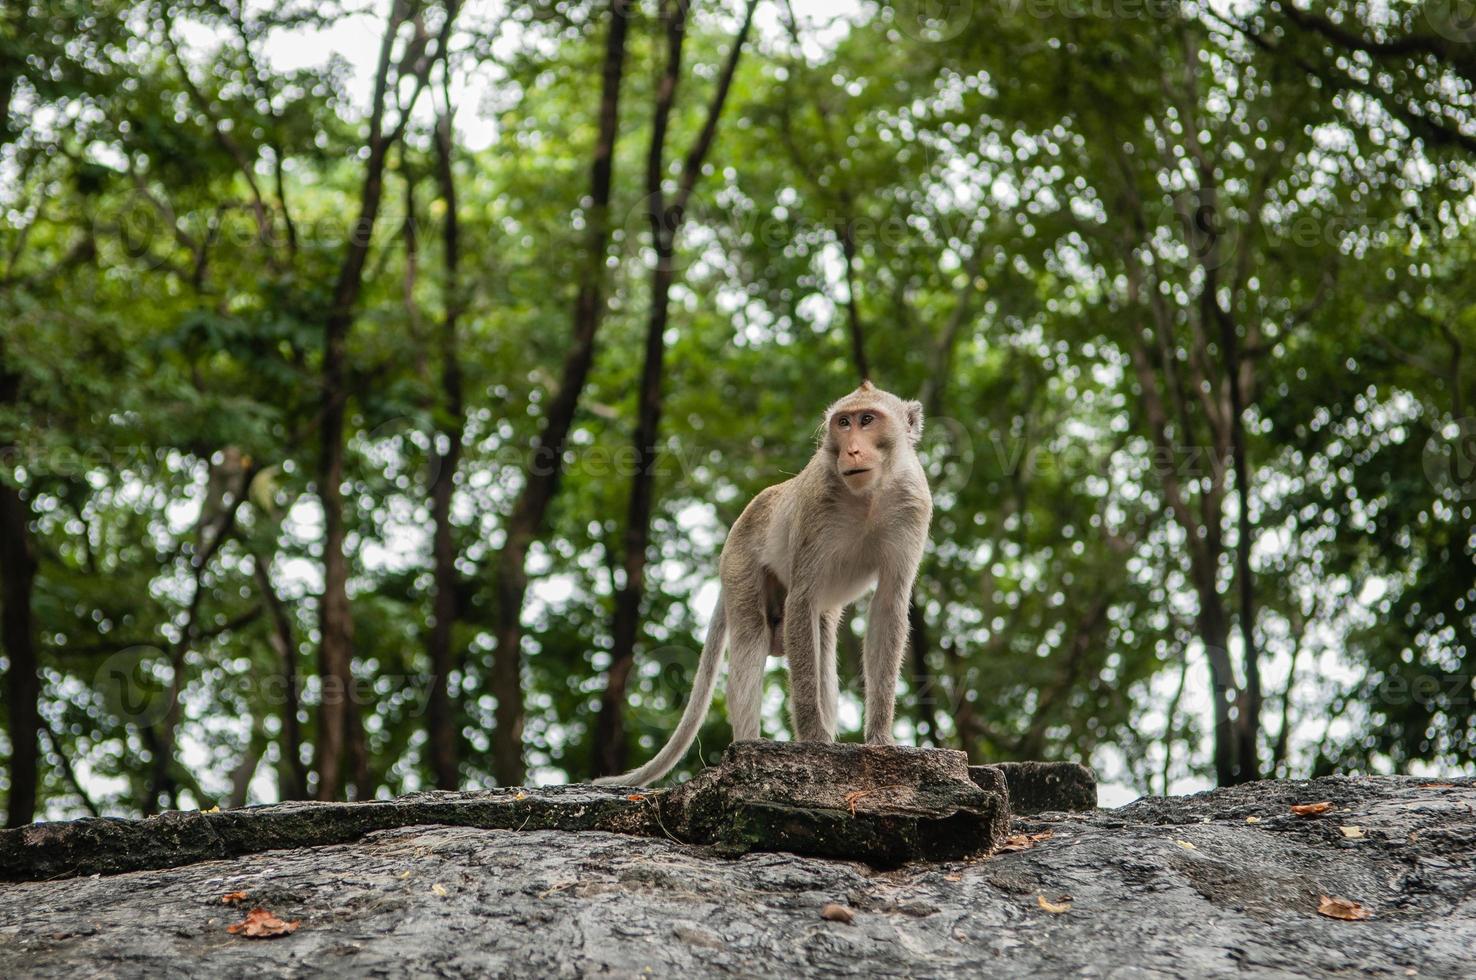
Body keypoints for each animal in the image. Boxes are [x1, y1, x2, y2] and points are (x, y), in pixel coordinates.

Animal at [590, 377, 926, 785]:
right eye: (844, 423)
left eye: (867, 419)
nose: (852, 450)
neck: (869, 497)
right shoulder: (816, 507)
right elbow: (801, 600)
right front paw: (814, 739)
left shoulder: (912, 505)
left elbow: (888, 606)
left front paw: (879, 738)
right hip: (740, 567)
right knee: (753, 633)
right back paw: (749, 747)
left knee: (821, 636)